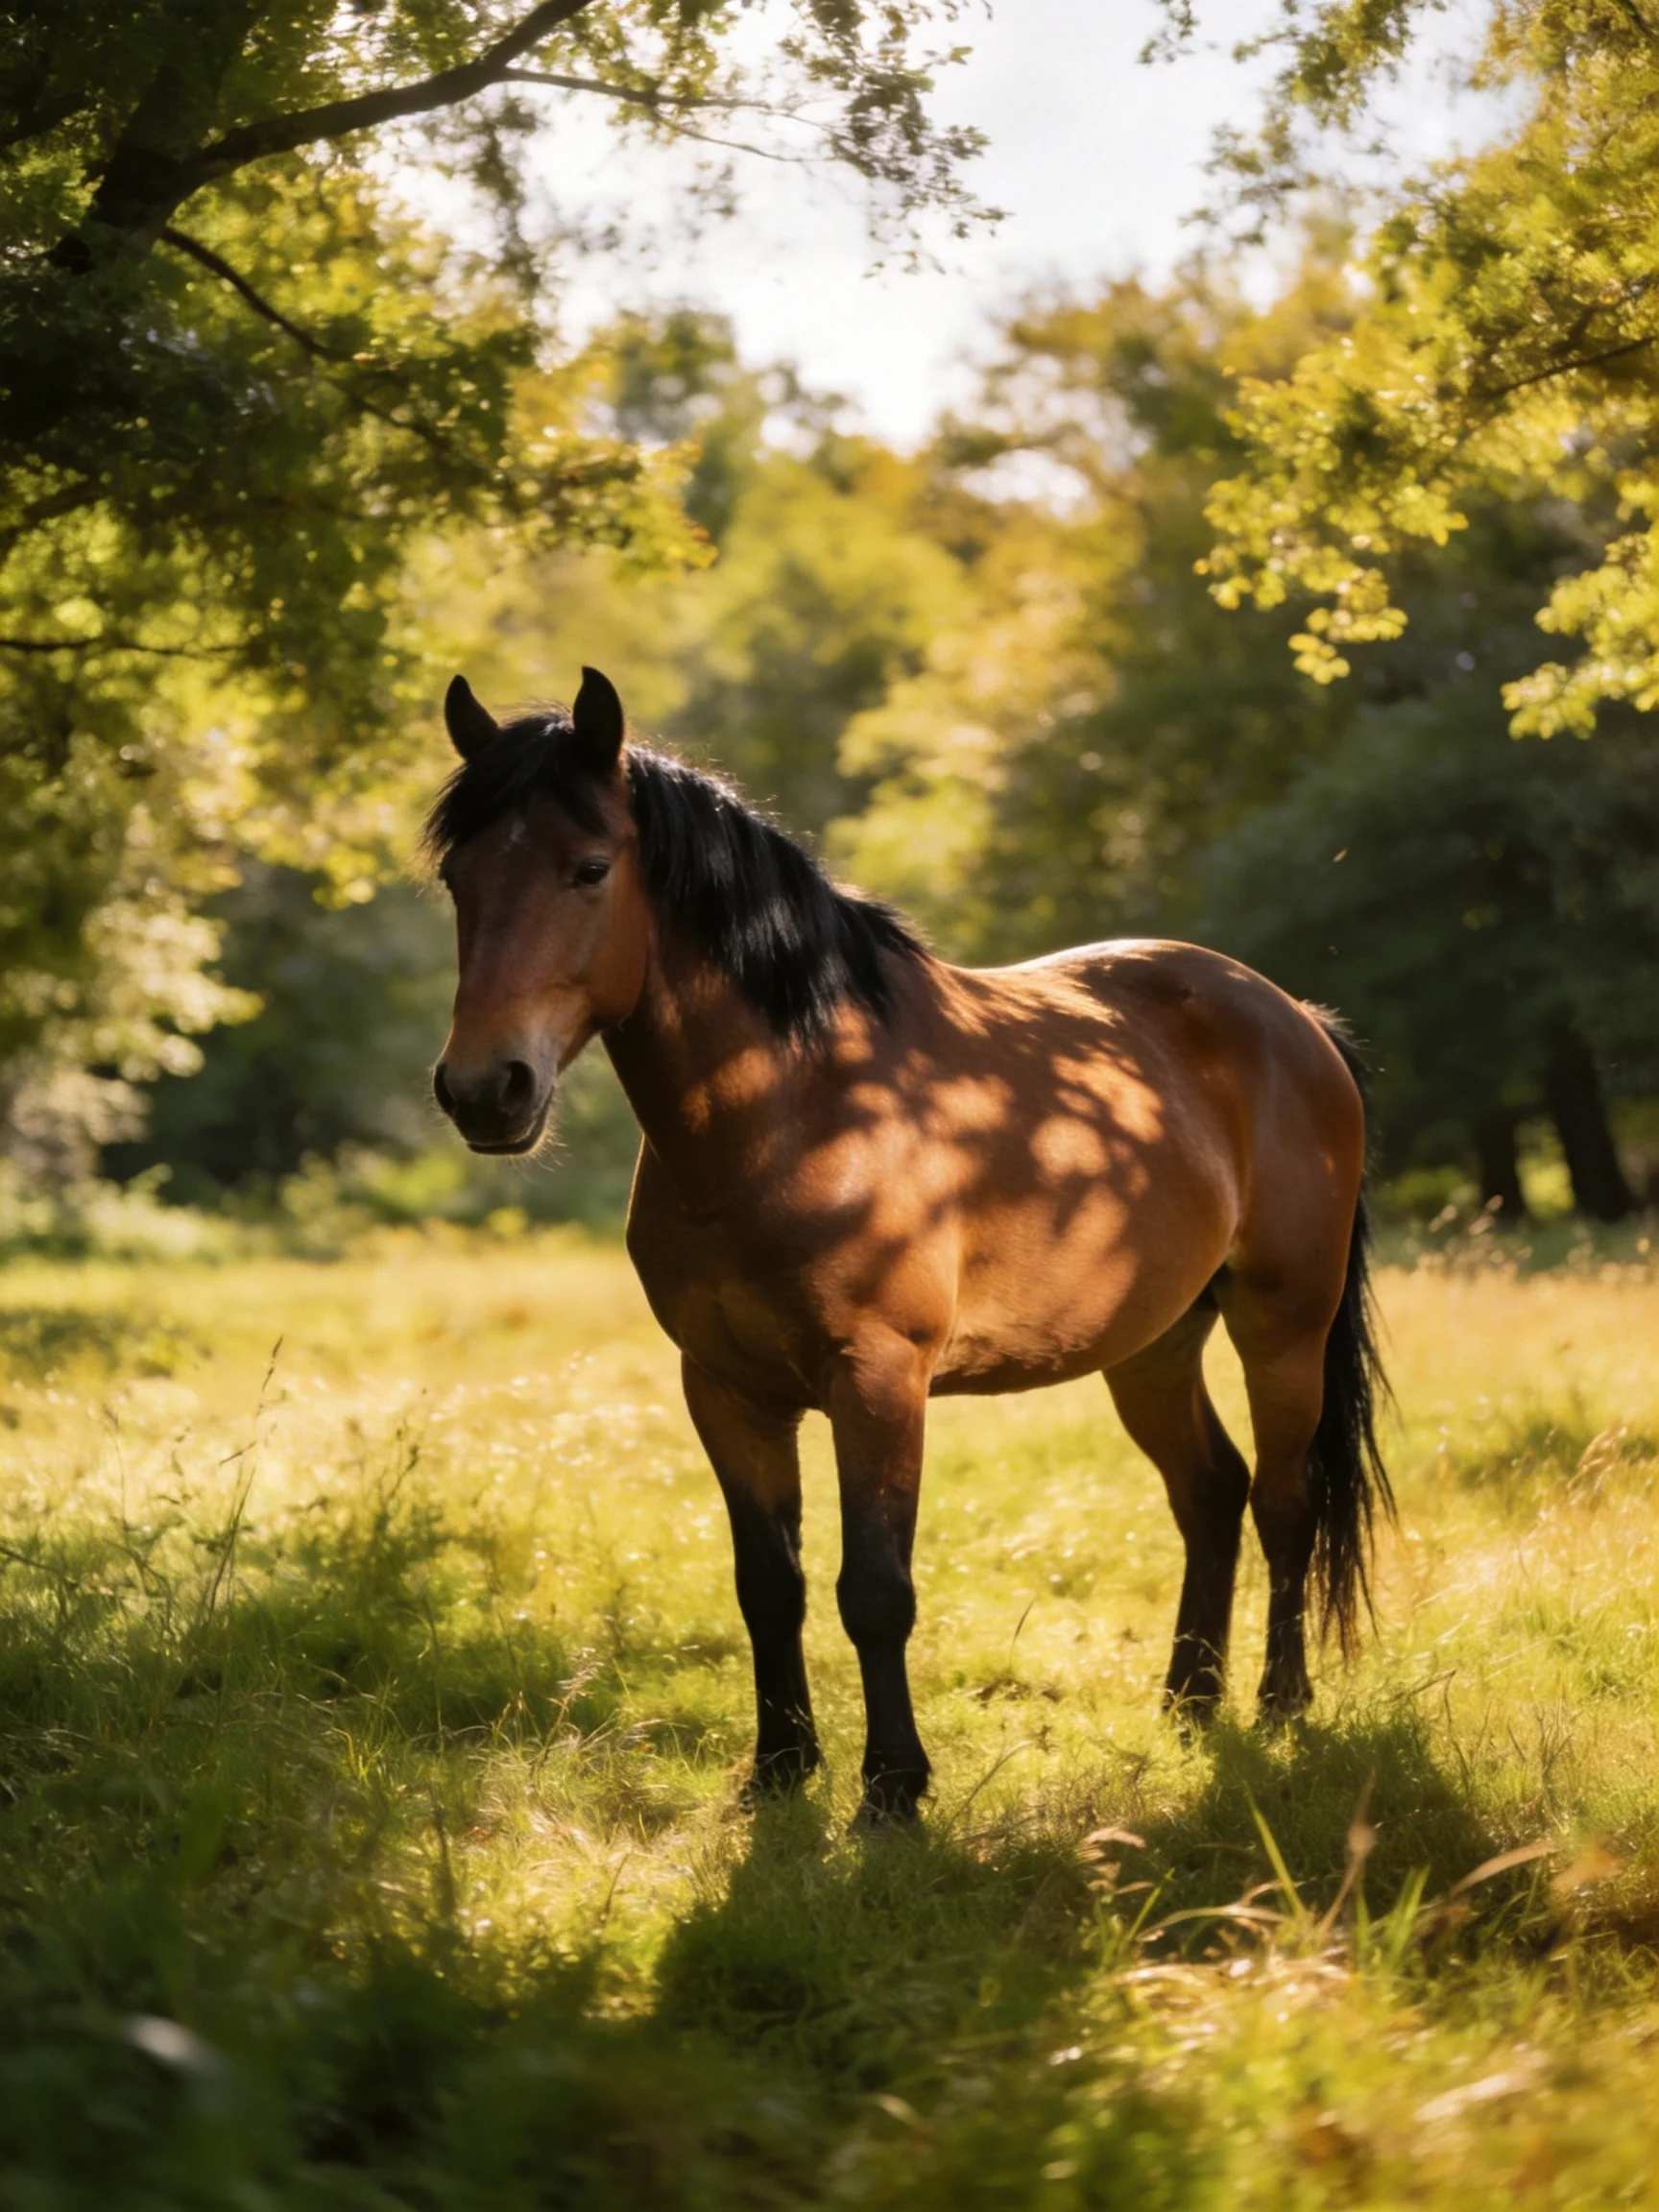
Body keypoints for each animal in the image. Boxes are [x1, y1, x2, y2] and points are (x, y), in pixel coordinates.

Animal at [427, 666, 1391, 1821]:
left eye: (589, 868)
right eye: (458, 878)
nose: (485, 1089)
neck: (797, 1112)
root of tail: (1294, 1019)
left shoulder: (879, 1379)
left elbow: (875, 1589)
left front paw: (892, 1787)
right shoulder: (724, 1389)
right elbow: (770, 1584)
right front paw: (779, 1770)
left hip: (1282, 1326)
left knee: (1287, 1503)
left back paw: (1279, 1706)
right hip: (1153, 1345)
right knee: (1211, 1494)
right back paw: (1187, 1706)